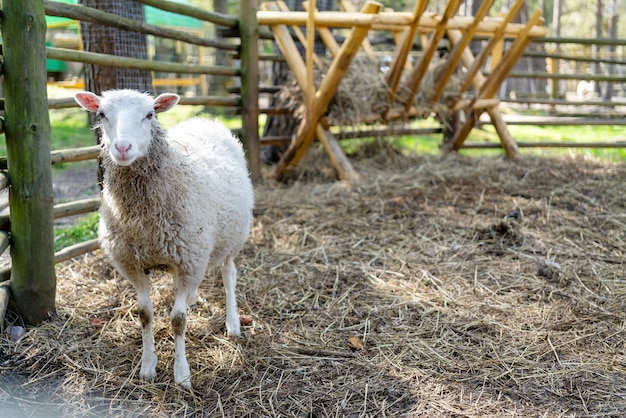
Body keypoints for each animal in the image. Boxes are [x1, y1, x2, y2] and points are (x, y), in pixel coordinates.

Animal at [75, 88, 254, 388]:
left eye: (150, 114)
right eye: (101, 114)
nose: (122, 148)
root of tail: (204, 120)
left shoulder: (189, 260)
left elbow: (178, 320)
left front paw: (182, 374)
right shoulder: (133, 264)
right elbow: (145, 314)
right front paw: (148, 366)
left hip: (231, 235)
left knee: (229, 273)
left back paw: (232, 323)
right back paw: (193, 297)